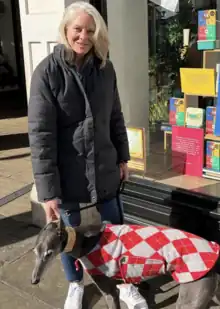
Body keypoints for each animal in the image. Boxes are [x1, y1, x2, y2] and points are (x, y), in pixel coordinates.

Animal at [32, 220, 220, 306]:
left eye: (48, 254)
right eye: (35, 252)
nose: (34, 280)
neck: (86, 241)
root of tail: (213, 249)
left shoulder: (108, 290)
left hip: (191, 295)